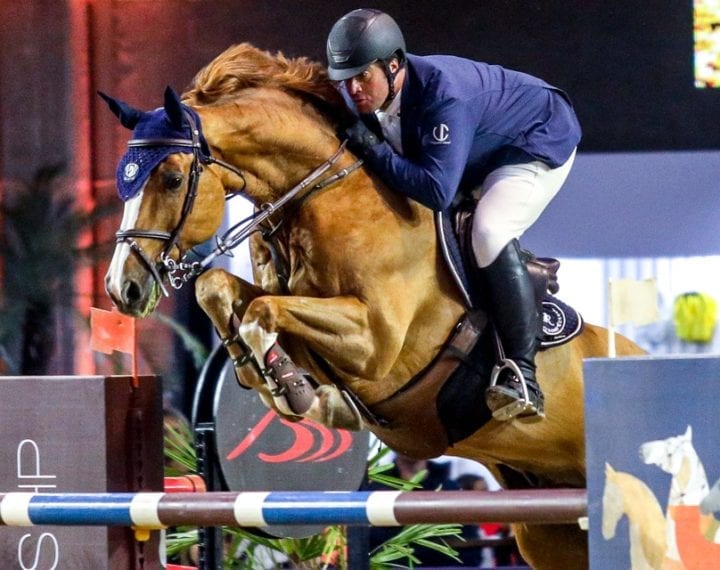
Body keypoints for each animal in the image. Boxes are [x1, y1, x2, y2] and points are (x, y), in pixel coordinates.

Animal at [100, 41, 640, 568]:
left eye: (171, 179)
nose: (121, 288)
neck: (324, 194)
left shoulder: (374, 341)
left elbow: (262, 312)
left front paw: (290, 386)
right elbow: (217, 287)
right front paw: (269, 374)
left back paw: (516, 385)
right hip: (548, 530)